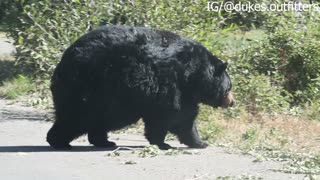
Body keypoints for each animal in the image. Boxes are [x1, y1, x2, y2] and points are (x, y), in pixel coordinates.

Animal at [46, 24, 234, 150]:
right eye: (229, 88)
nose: (232, 102)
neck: (193, 73)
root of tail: (63, 61)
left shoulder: (183, 92)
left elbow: (182, 117)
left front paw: (198, 142)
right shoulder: (171, 83)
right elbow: (173, 115)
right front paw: (168, 143)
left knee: (98, 119)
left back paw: (104, 141)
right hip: (92, 87)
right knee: (76, 117)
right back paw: (59, 142)